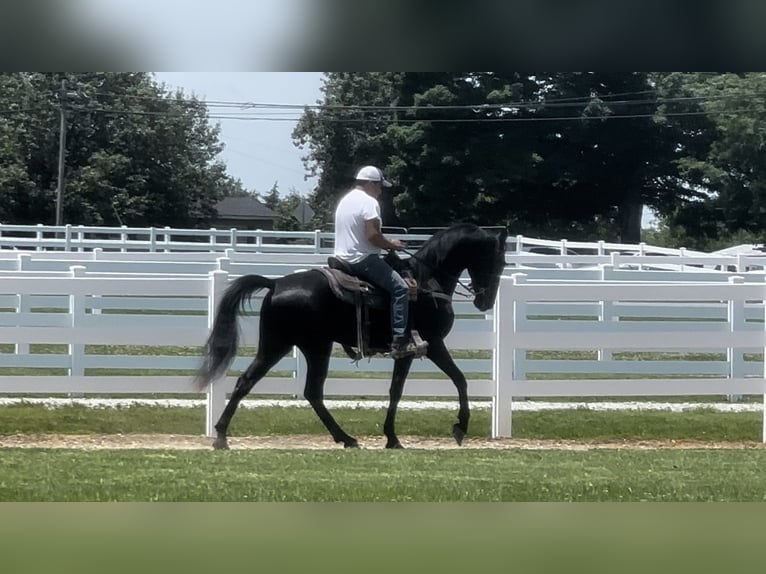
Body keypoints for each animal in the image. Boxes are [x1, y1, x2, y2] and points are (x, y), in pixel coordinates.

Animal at [195, 223, 510, 452]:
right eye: (498, 260)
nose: (485, 302)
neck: (426, 281)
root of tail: (275, 284)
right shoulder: (428, 345)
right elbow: (450, 381)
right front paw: (455, 428)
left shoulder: (419, 349)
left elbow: (414, 387)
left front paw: (395, 436)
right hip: (305, 347)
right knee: (292, 388)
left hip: (290, 345)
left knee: (269, 385)